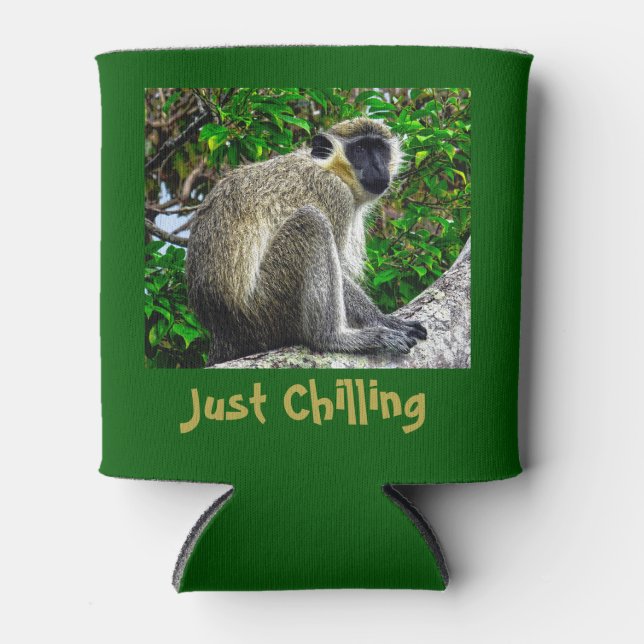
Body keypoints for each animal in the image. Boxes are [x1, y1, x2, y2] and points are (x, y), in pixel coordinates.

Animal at [186, 116, 427, 366]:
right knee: (312, 222)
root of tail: (223, 332)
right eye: (360, 149)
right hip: (264, 308)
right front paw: (383, 319)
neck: (330, 169)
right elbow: (340, 272)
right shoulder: (334, 193)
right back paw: (333, 338)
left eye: (380, 149)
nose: (378, 168)